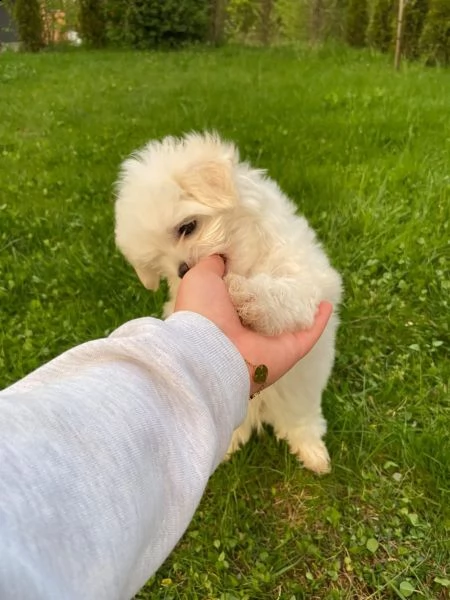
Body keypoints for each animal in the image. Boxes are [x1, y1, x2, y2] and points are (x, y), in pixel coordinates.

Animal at [114, 131, 342, 474]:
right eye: (158, 264)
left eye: (187, 227)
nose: (183, 270)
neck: (246, 264)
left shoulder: (308, 277)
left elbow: (289, 294)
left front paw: (251, 298)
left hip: (302, 395)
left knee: (301, 421)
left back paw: (313, 453)